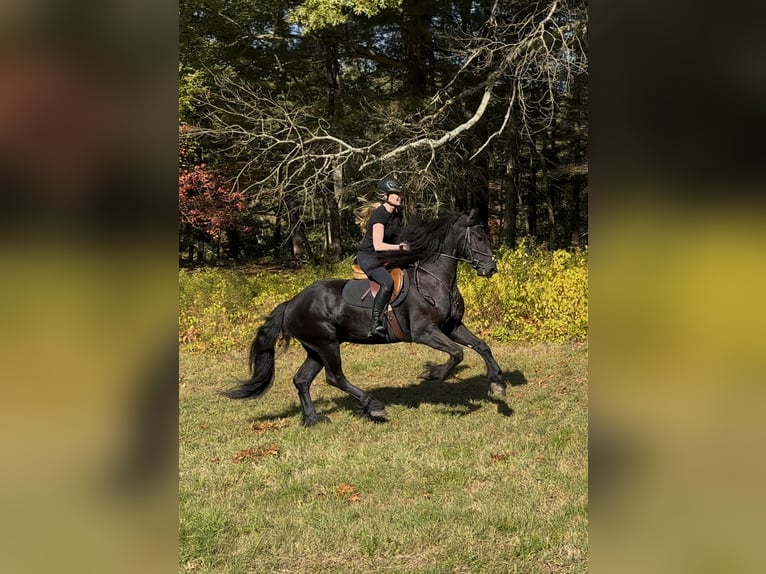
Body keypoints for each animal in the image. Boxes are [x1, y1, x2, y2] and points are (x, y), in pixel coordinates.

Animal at [222, 208, 507, 425]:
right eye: (478, 237)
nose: (491, 268)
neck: (433, 279)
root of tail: (291, 303)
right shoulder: (424, 331)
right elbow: (457, 354)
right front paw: (433, 373)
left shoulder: (452, 326)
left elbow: (481, 346)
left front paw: (497, 383)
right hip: (327, 344)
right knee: (335, 377)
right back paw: (373, 405)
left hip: (315, 348)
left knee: (302, 379)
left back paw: (313, 419)